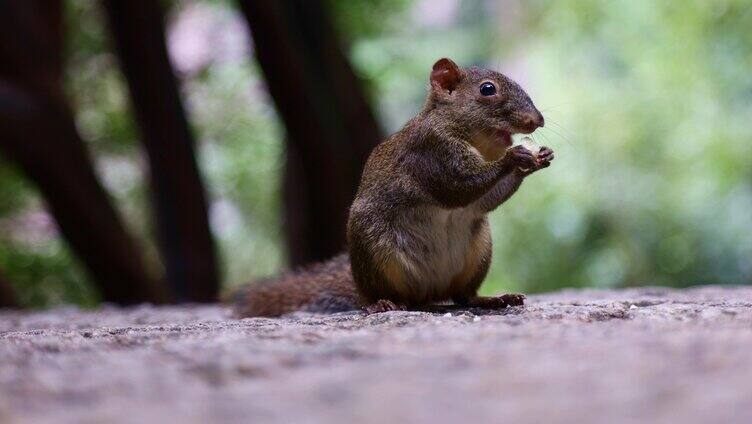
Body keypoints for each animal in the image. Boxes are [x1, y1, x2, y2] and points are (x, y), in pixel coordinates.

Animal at [232, 58, 556, 318]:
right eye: (487, 89)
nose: (537, 120)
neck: (473, 139)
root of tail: (429, 293)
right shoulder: (430, 152)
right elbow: (458, 187)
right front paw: (514, 158)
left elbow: (484, 200)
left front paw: (538, 159)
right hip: (373, 250)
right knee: (381, 295)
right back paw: (382, 304)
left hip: (478, 253)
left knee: (464, 296)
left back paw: (492, 299)